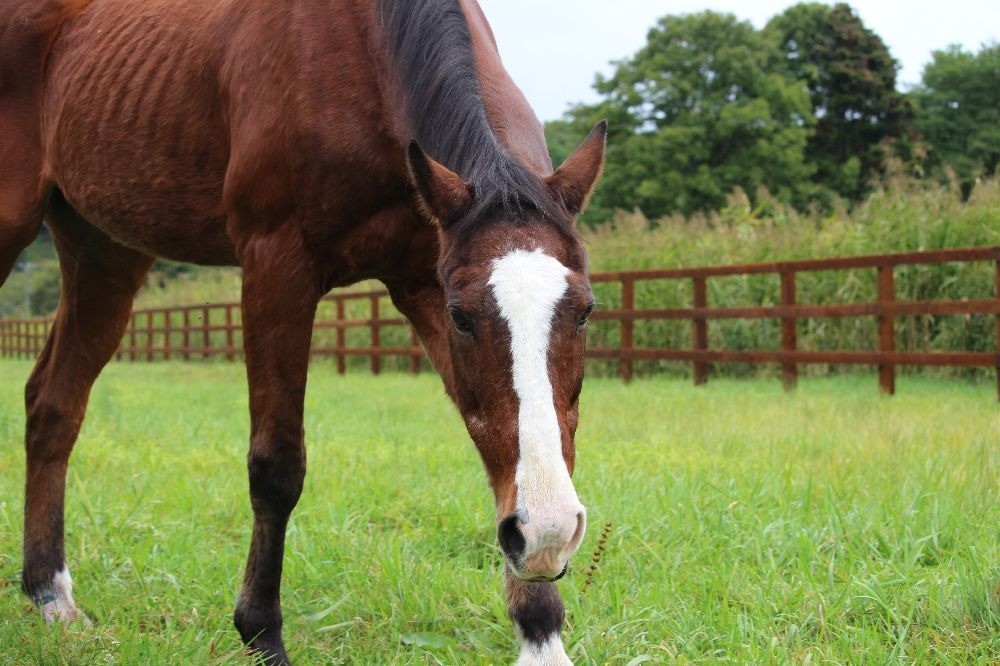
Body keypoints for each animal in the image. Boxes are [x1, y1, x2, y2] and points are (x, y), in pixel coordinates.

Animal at [0, 0, 605, 663]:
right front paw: (261, 631)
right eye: (463, 317)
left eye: (584, 310)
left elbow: (503, 444)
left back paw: (50, 593)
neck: (368, 52)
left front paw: (540, 631)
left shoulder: (421, 279)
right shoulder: (277, 265)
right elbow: (276, 466)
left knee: (54, 405)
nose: (549, 532)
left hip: (104, 253)